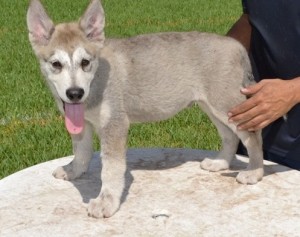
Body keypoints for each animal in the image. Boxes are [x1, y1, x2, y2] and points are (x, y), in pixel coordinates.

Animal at [27, 0, 264, 218]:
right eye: (56, 64)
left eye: (85, 62)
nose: (75, 93)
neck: (97, 80)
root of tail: (237, 47)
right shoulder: (81, 122)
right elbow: (81, 151)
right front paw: (73, 170)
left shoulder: (115, 125)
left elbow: (111, 170)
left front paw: (106, 202)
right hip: (213, 107)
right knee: (230, 136)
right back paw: (220, 163)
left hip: (228, 106)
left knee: (253, 138)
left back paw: (254, 172)